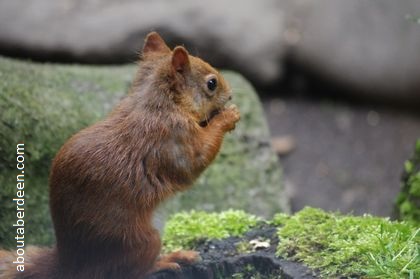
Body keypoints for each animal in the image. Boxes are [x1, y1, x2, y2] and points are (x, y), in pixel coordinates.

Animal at [0, 31, 241, 278]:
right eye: (211, 84)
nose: (231, 96)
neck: (161, 104)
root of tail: (69, 263)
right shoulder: (173, 139)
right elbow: (196, 159)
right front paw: (228, 117)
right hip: (141, 239)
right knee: (130, 270)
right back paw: (165, 261)